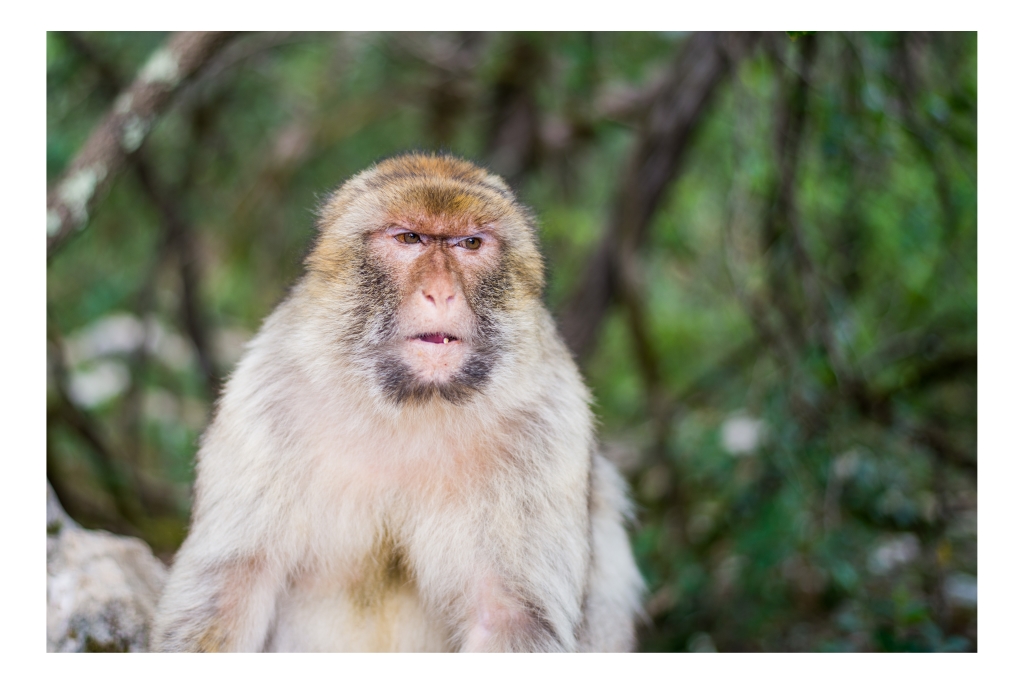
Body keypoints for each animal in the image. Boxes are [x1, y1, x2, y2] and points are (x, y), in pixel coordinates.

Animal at [151, 153, 644, 652]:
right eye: (409, 238)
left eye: (470, 243)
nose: (441, 292)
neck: (411, 405)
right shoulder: (267, 396)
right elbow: (224, 595)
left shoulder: (549, 422)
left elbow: (511, 618)